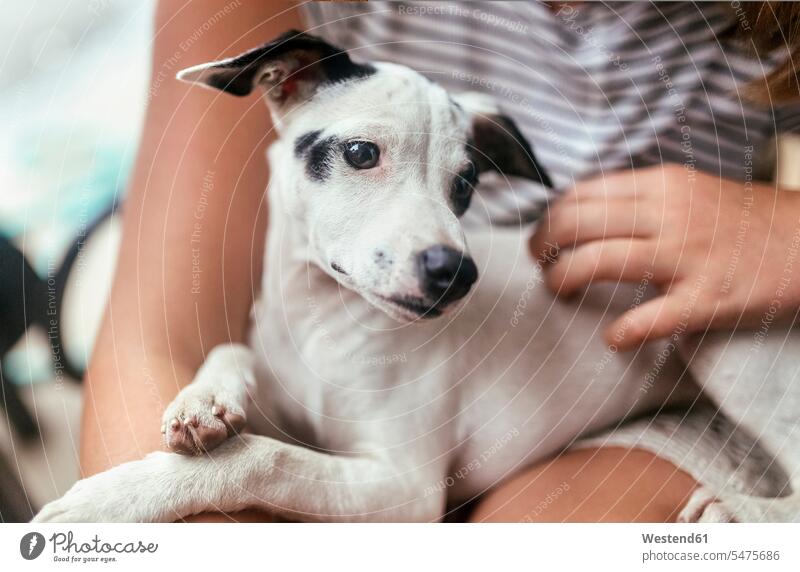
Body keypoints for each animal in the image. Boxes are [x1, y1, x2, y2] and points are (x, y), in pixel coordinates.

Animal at [36, 30, 800, 524]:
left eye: (465, 184)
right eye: (359, 153)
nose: (456, 273)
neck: (322, 325)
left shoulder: (402, 490)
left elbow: (265, 458)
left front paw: (111, 498)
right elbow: (232, 356)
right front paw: (204, 403)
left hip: (719, 337)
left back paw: (733, 509)